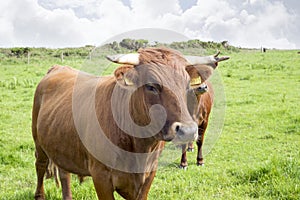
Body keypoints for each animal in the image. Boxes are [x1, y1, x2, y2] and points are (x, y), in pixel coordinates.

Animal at [32, 47, 227, 199]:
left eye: (187, 85)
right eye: (151, 86)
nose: (187, 131)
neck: (140, 146)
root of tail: (58, 68)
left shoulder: (149, 175)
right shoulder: (101, 177)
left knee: (64, 174)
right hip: (38, 141)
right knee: (40, 165)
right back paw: (39, 195)